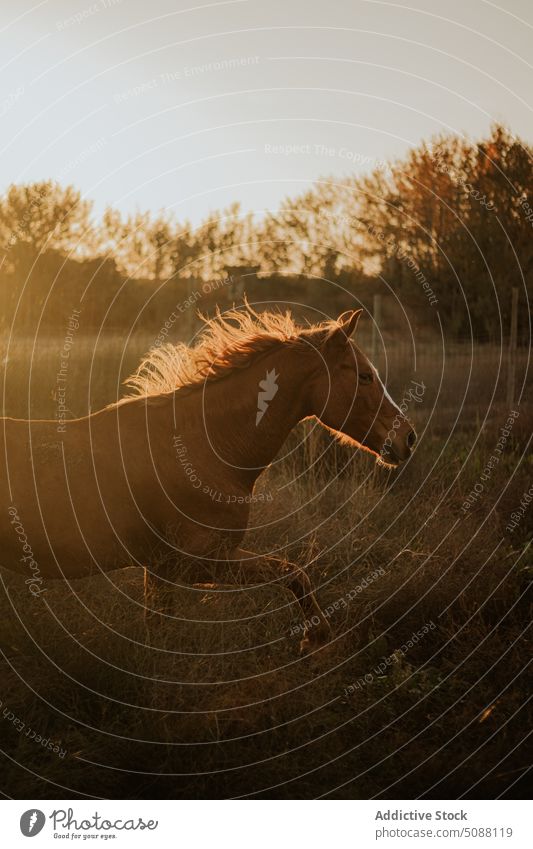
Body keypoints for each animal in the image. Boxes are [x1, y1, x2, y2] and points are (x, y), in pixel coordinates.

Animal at [0, 308, 416, 652]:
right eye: (364, 376)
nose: (408, 439)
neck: (204, 447)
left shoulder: (166, 569)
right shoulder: (195, 563)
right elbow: (291, 571)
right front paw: (315, 638)